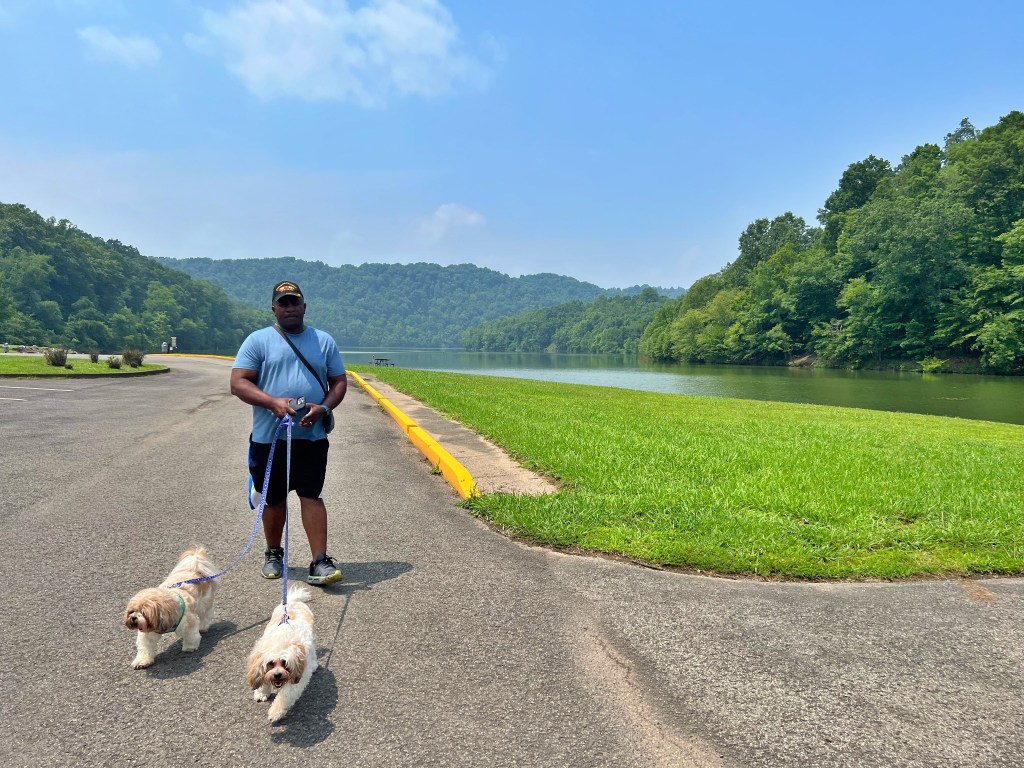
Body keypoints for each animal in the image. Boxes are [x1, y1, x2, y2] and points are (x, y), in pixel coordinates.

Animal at [246, 584, 318, 722]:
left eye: (284, 663)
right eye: (270, 663)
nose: (277, 675)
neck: (281, 640)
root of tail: (293, 602)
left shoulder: (296, 677)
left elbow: (285, 696)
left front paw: (275, 712)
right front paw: (262, 692)